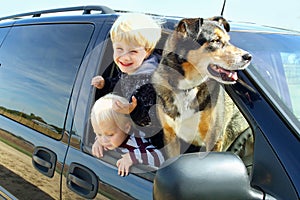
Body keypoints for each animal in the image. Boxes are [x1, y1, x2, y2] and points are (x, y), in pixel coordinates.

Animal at [152, 16, 253, 159]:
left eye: (228, 40)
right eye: (215, 40)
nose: (249, 57)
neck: (188, 87)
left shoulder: (214, 139)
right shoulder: (171, 136)